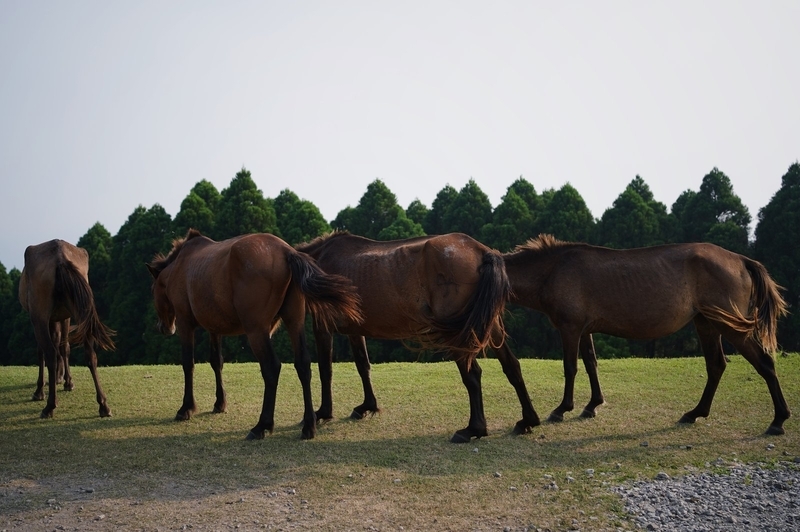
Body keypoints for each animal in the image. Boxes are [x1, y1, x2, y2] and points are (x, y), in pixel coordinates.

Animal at [19, 239, 116, 418]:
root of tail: (60, 257)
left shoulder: (43, 318)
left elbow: (45, 350)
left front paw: (41, 389)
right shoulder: (64, 316)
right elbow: (64, 346)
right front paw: (66, 381)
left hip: (39, 314)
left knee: (49, 352)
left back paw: (49, 405)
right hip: (81, 311)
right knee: (90, 354)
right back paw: (103, 405)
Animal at [146, 229, 364, 440]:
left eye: (153, 288)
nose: (163, 327)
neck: (181, 265)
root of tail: (286, 252)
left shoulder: (185, 324)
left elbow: (188, 364)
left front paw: (186, 408)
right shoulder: (215, 328)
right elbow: (216, 362)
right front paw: (219, 403)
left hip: (257, 330)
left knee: (271, 367)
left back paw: (262, 426)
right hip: (294, 322)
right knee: (302, 364)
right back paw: (308, 425)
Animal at [296, 232, 540, 442]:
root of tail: (481, 251)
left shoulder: (322, 325)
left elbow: (325, 370)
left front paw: (323, 412)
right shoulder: (356, 330)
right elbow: (363, 365)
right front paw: (367, 406)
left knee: (472, 375)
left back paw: (473, 429)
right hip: (491, 326)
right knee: (511, 365)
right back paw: (528, 419)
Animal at [502, 234, 790, 435]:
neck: (553, 269)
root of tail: (742, 260)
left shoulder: (570, 328)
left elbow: (570, 367)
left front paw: (562, 409)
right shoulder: (584, 330)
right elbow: (591, 364)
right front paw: (593, 405)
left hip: (730, 326)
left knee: (764, 363)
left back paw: (778, 420)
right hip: (707, 323)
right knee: (716, 365)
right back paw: (695, 413)